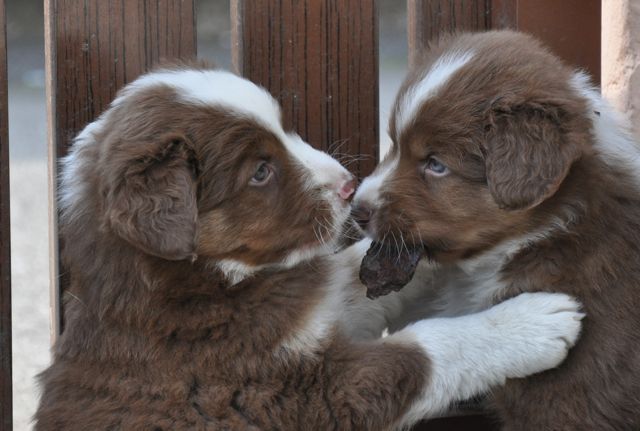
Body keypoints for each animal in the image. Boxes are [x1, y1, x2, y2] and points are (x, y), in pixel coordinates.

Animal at [35, 66, 584, 430]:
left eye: (286, 130)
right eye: (260, 171)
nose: (349, 187)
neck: (207, 284)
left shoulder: (304, 313)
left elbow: (341, 275)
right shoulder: (294, 390)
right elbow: (425, 350)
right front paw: (533, 324)